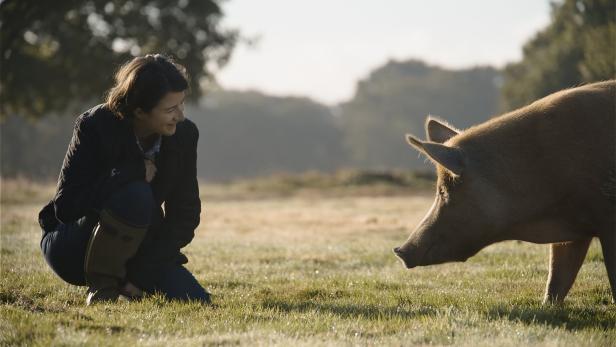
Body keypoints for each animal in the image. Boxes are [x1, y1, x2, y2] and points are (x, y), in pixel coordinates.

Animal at [394, 80, 616, 304]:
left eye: (443, 191)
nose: (400, 251)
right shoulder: (572, 231)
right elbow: (558, 277)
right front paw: (547, 304)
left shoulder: (607, 221)